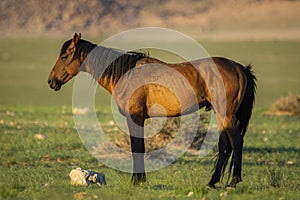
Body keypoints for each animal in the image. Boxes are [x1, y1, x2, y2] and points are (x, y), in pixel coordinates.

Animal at [47, 32, 255, 188]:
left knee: (235, 142)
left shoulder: (135, 118)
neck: (125, 74)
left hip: (225, 115)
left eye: (64, 56)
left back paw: (232, 182)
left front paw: (136, 181)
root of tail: (240, 68)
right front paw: (141, 179)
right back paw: (213, 182)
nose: (51, 81)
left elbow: (137, 148)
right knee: (225, 144)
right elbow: (140, 148)